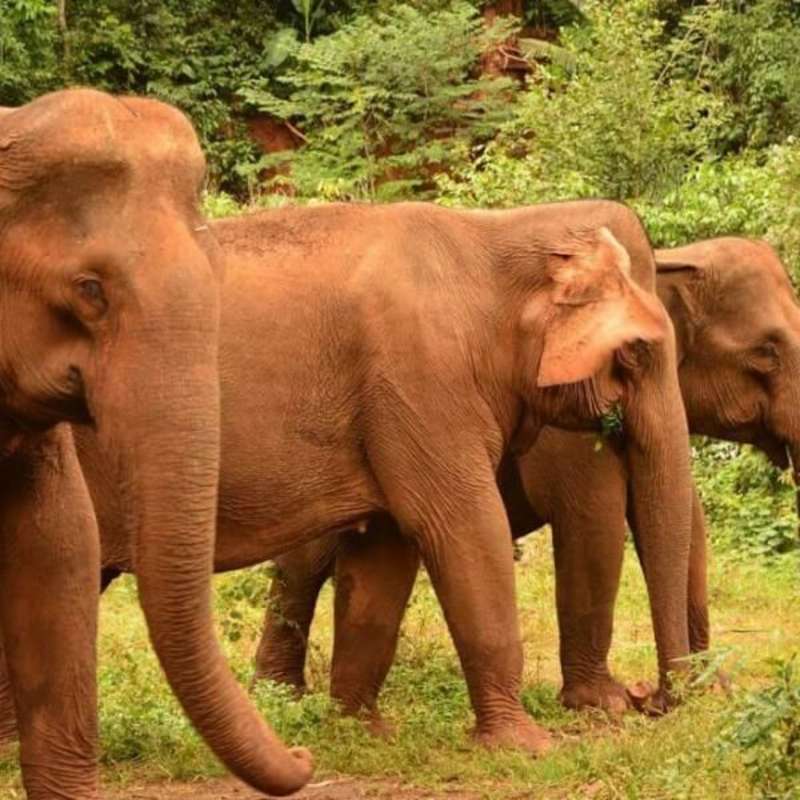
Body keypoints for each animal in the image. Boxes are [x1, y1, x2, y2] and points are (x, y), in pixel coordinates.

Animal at [74, 198, 695, 756]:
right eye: (636, 353)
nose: (649, 699)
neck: (494, 236)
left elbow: (383, 557)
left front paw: (364, 732)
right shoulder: (422, 380)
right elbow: (464, 530)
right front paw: (528, 745)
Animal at [252, 235, 800, 723]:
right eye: (767, 352)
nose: (652, 696)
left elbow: (685, 525)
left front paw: (714, 689)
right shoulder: (567, 429)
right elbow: (596, 519)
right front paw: (603, 705)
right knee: (304, 564)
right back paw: (280, 696)